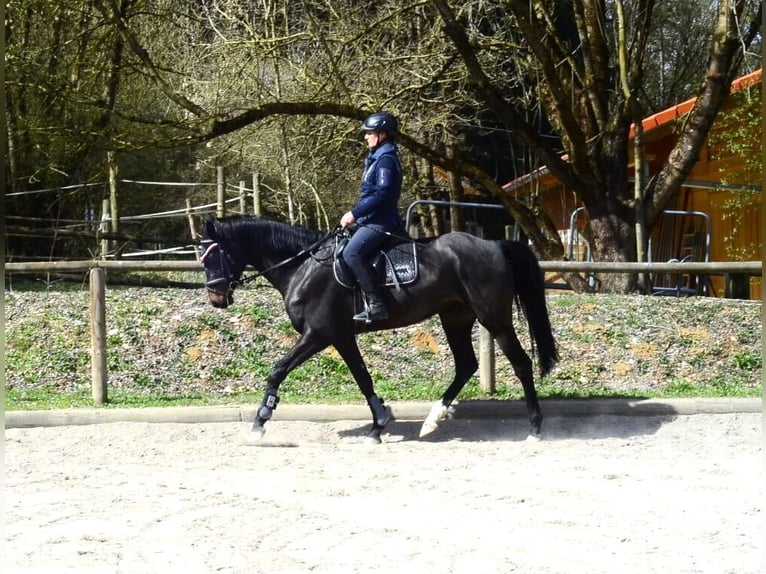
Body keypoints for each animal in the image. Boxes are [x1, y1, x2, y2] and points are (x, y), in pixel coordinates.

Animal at [200, 215, 558, 444]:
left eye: (213, 255)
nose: (217, 299)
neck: (303, 266)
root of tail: (495, 245)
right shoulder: (341, 336)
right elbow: (363, 377)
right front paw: (379, 424)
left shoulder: (318, 334)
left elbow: (277, 370)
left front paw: (260, 422)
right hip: (455, 318)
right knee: (466, 365)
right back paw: (432, 420)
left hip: (493, 319)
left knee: (521, 363)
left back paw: (535, 429)